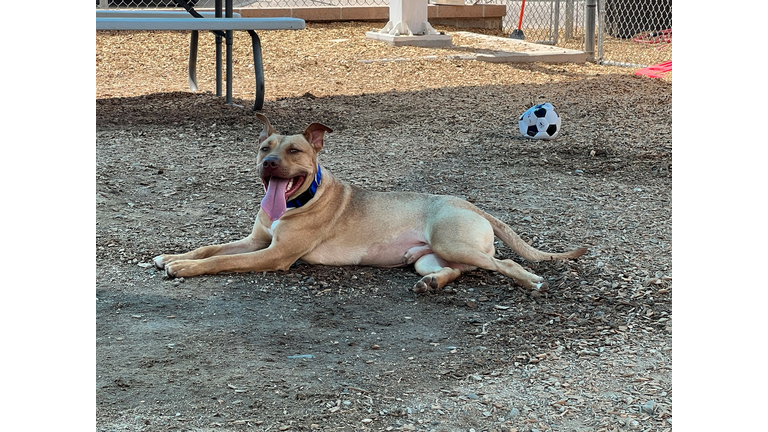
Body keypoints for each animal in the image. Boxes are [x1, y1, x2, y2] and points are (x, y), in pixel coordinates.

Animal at [154, 115, 587, 292]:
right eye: (265, 147)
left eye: (294, 150)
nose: (269, 163)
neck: (299, 200)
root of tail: (473, 207)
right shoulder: (257, 240)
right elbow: (210, 247)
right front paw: (172, 256)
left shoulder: (273, 254)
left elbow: (220, 261)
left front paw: (184, 268)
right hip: (428, 257)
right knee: (456, 271)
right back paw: (432, 284)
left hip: (451, 242)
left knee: (507, 264)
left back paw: (531, 281)